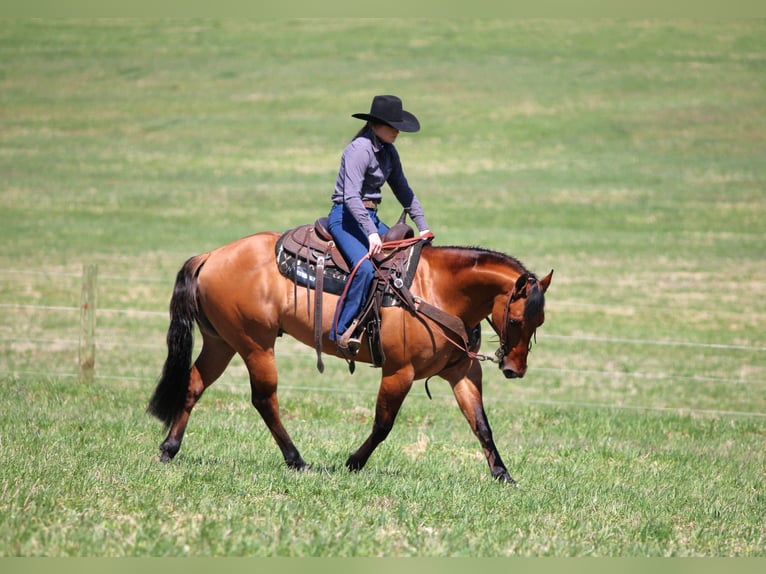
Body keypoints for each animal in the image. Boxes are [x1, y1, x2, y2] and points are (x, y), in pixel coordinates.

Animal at [147, 230, 552, 484]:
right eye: (516, 319)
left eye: (540, 321)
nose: (514, 369)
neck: (438, 290)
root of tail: (211, 255)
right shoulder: (399, 372)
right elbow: (383, 424)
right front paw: (354, 462)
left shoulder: (463, 373)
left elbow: (481, 424)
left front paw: (503, 474)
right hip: (255, 346)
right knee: (264, 399)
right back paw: (296, 460)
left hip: (222, 343)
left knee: (194, 385)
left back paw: (169, 449)